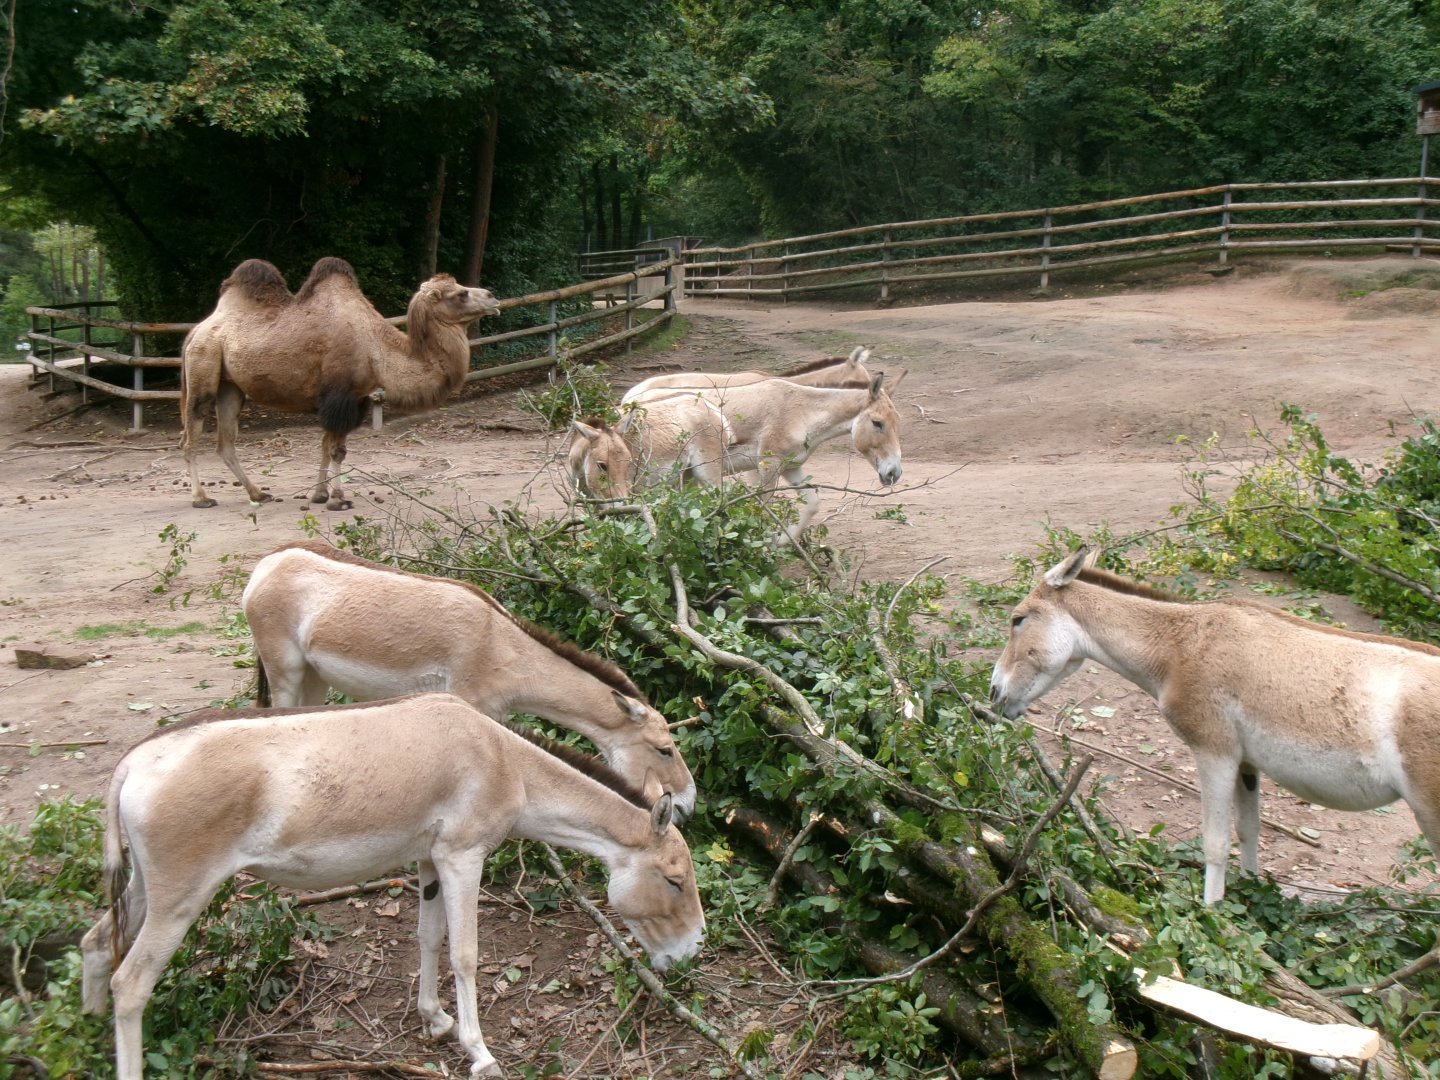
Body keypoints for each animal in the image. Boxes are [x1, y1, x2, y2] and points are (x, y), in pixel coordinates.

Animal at [180, 257, 501, 510]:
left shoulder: (354, 399)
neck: (376, 348)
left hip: (230, 386)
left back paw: (258, 493)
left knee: (226, 442)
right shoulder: (340, 396)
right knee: (191, 435)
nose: (493, 297)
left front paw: (320, 495)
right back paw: (201, 498)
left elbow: (327, 445)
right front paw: (338, 500)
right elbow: (336, 450)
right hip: (203, 364)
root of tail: (196, 330)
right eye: (460, 293)